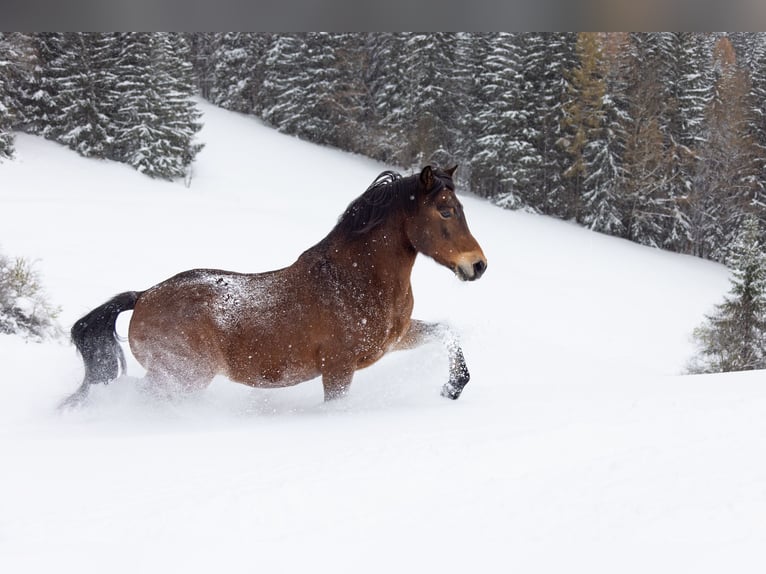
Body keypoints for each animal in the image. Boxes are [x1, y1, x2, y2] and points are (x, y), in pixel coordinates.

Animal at [61, 165, 487, 408]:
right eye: (446, 211)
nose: (478, 265)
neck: (354, 280)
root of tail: (143, 297)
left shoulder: (394, 339)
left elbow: (447, 331)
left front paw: (454, 387)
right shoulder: (338, 369)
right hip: (181, 377)